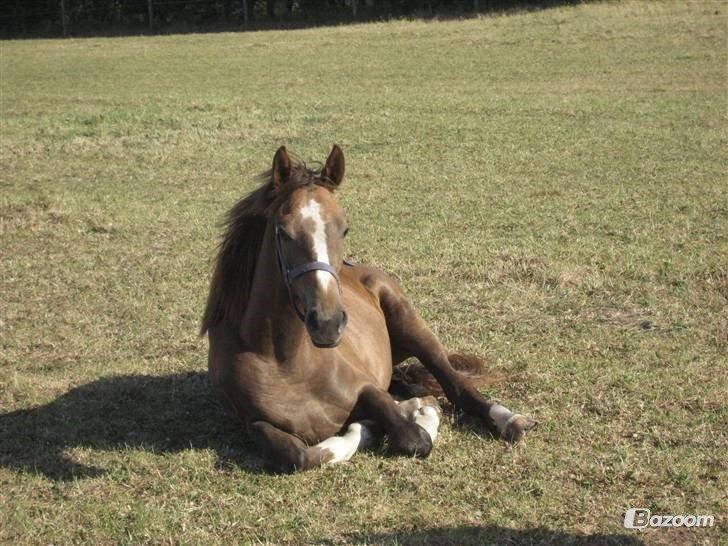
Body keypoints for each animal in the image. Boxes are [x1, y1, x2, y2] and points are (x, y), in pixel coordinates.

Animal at [199, 146, 536, 472]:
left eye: (344, 229)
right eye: (282, 231)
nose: (327, 324)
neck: (286, 363)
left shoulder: (366, 387)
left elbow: (415, 438)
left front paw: (413, 417)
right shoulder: (254, 423)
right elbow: (299, 456)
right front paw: (385, 421)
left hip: (412, 326)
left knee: (456, 386)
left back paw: (510, 420)